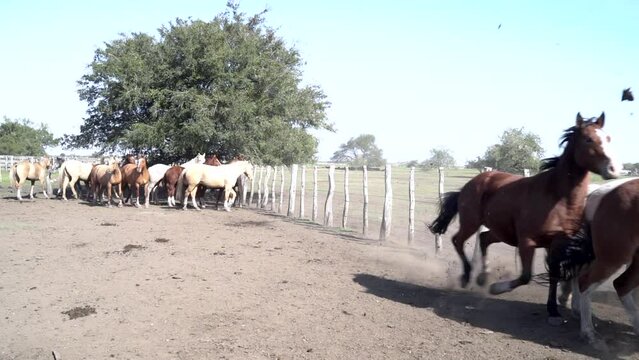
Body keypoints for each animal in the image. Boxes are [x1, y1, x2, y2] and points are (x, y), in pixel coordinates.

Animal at [428, 112, 624, 324]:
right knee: (458, 240)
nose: (614, 169)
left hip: (502, 232)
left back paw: (482, 277)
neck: (557, 197)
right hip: (472, 222)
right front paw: (496, 288)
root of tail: (472, 183)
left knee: (484, 238)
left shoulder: (555, 244)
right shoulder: (527, 241)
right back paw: (466, 277)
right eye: (588, 139)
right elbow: (526, 276)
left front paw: (553, 311)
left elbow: (554, 275)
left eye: (608, 138)